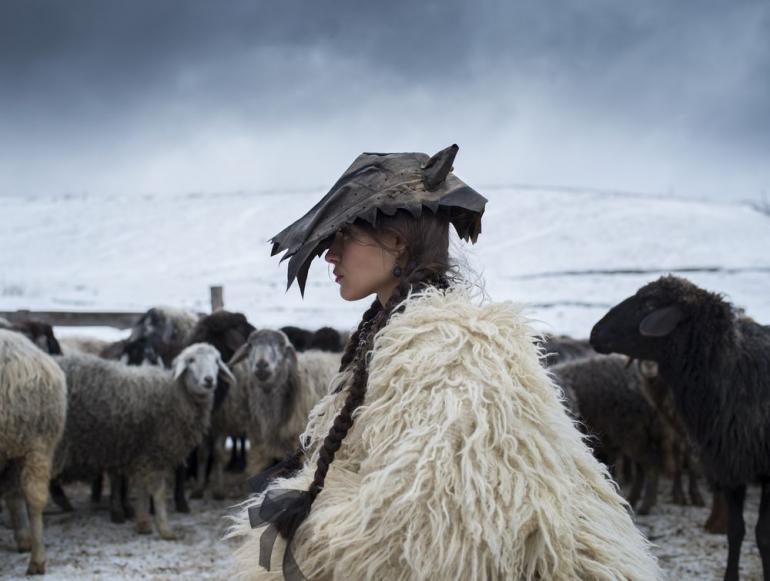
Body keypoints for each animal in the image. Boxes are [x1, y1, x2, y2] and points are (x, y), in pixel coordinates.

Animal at [52, 342, 232, 536]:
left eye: (217, 361)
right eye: (191, 360)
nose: (209, 380)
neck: (174, 393)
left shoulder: (141, 452)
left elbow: (143, 488)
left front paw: (143, 522)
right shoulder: (154, 451)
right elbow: (157, 490)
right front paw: (164, 528)